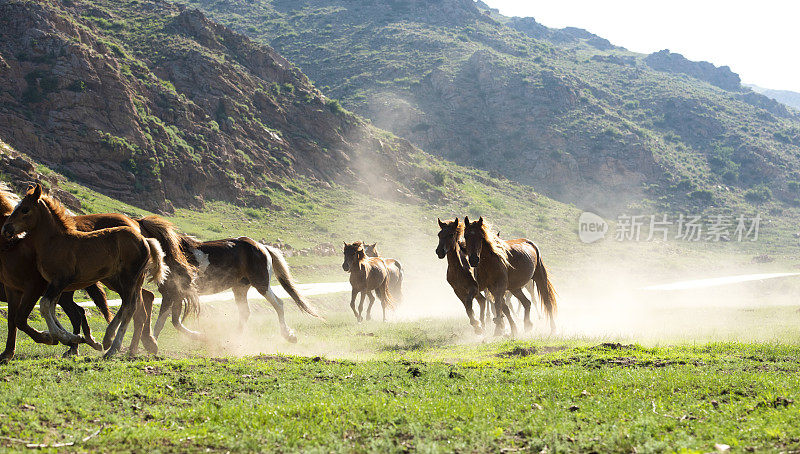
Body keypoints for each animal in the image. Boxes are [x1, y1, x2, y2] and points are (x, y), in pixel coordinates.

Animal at [0, 184, 169, 358]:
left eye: (25, 209)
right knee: (129, 305)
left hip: (128, 278)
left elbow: (45, 306)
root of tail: (145, 239)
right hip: (121, 280)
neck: (55, 241)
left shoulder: (58, 281)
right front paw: (72, 338)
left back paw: (113, 348)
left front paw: (64, 337)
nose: (6, 228)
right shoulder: (55, 285)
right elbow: (52, 309)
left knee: (130, 307)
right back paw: (110, 340)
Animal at [153, 236, 322, 342]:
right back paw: (235, 339)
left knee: (278, 304)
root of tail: (262, 247)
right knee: (245, 312)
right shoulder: (173, 295)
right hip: (240, 288)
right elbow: (170, 321)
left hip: (262, 284)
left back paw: (288, 335)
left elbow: (164, 322)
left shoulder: (171, 294)